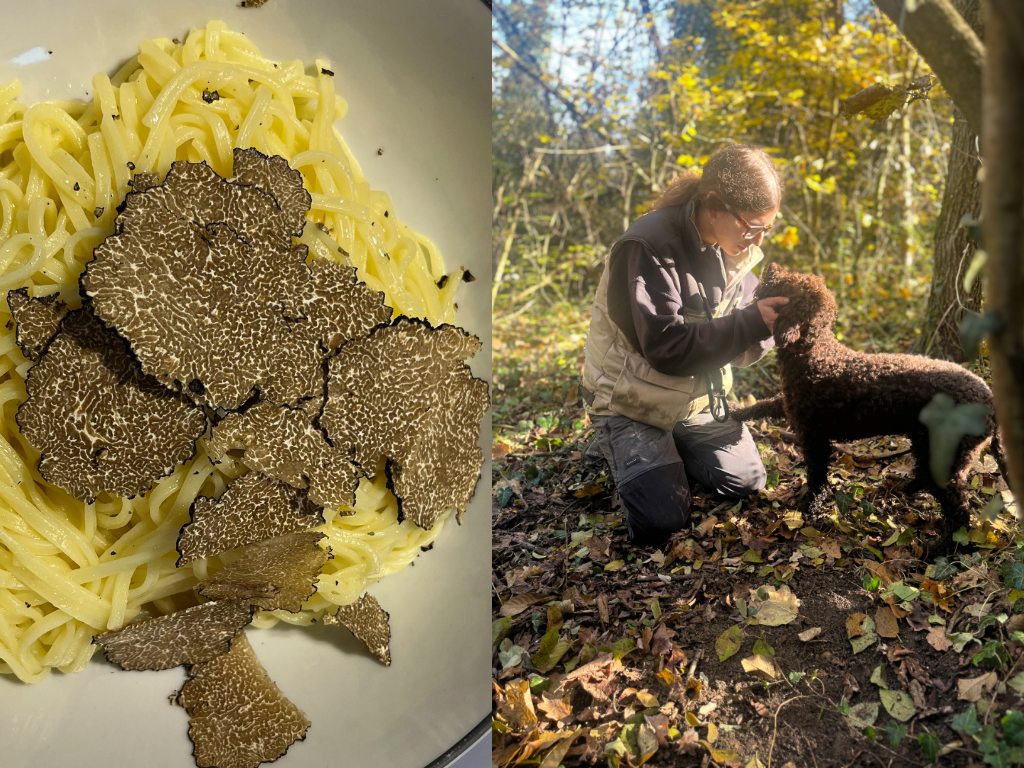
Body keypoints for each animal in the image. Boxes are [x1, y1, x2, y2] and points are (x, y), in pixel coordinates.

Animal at [733, 264, 1003, 552]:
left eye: (789, 282)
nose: (771, 267)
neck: (814, 353)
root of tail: (990, 399)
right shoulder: (790, 406)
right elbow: (762, 405)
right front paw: (733, 411)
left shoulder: (813, 437)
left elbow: (816, 478)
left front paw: (807, 509)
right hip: (926, 441)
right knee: (925, 474)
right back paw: (907, 489)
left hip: (948, 455)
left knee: (959, 509)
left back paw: (944, 548)